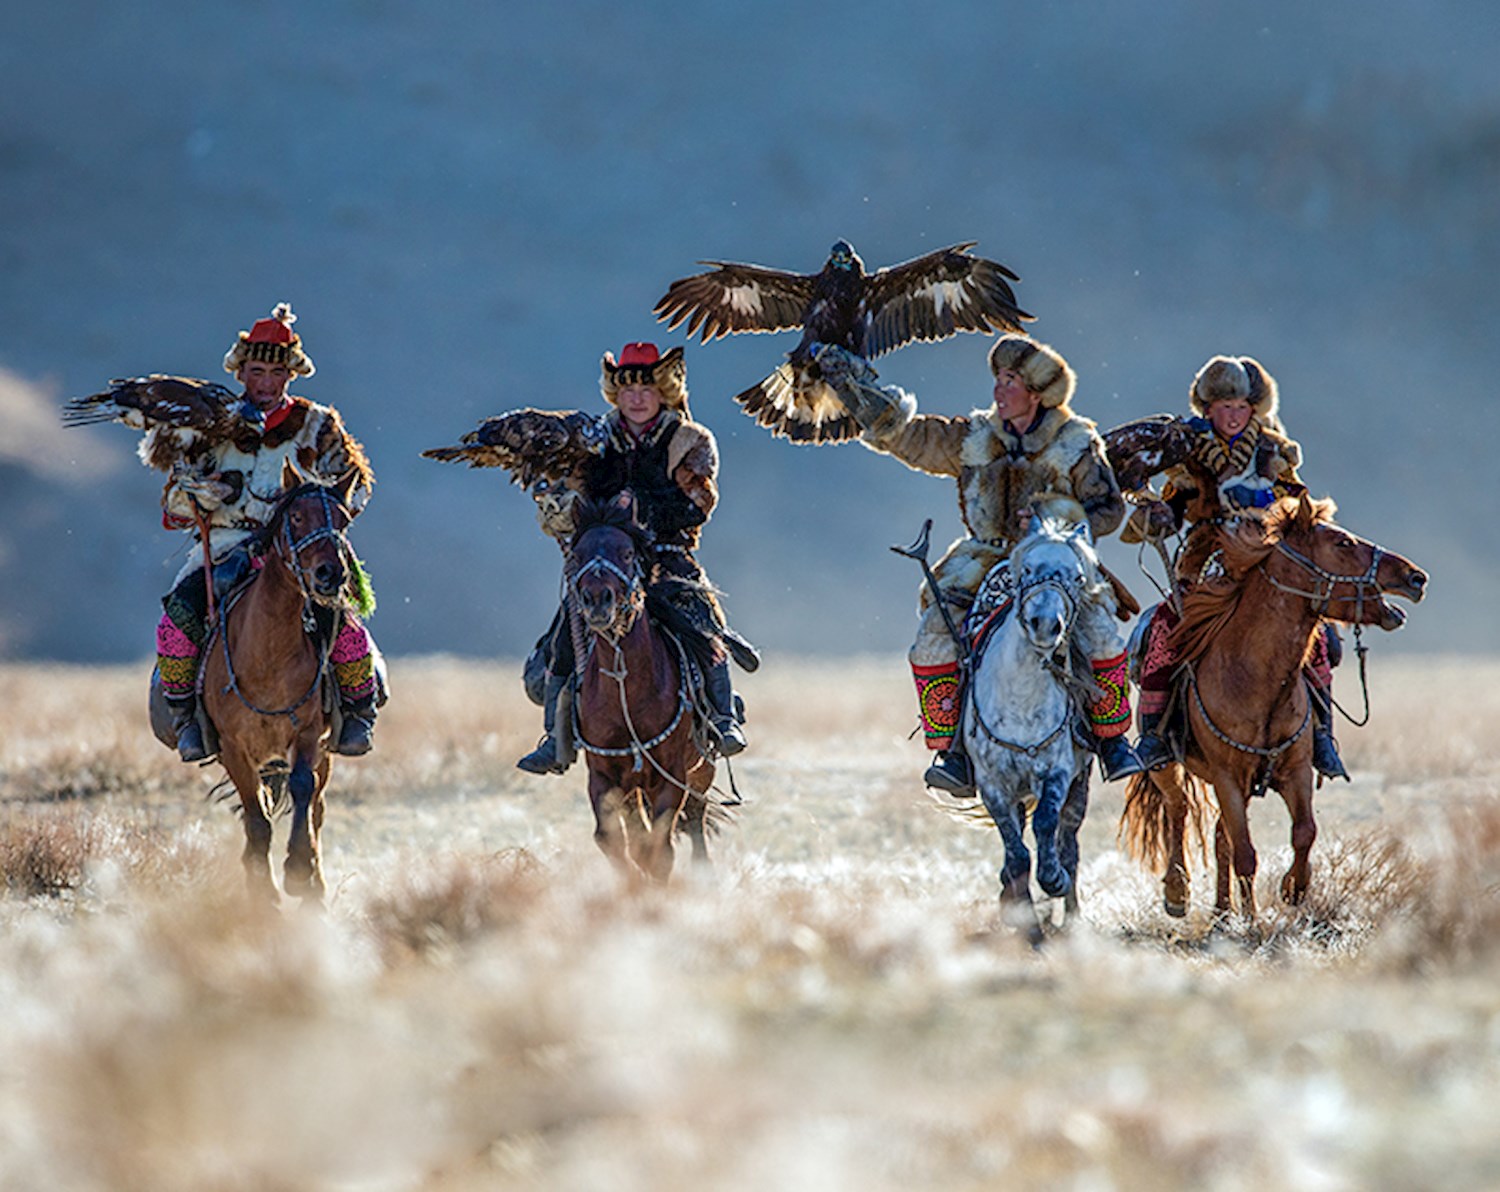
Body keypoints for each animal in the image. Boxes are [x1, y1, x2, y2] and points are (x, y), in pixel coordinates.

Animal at [202, 464, 363, 905]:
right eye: (297, 517)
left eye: (344, 520)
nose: (331, 574)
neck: (266, 658)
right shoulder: (232, 748)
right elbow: (257, 817)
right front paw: (264, 892)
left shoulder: (308, 734)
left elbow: (303, 789)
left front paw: (298, 869)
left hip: (325, 750)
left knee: (318, 807)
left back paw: (316, 886)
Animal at [567, 488, 720, 881]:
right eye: (577, 554)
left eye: (626, 553)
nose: (597, 600)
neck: (627, 689)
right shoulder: (603, 775)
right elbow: (613, 839)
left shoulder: (671, 775)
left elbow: (659, 849)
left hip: (702, 767)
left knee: (695, 818)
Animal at [966, 521, 1098, 941]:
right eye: (1027, 571)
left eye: (1077, 576)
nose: (1045, 624)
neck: (1020, 696)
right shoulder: (993, 784)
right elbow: (1017, 852)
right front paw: (1026, 925)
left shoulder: (1056, 772)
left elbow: (1045, 826)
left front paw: (1053, 880)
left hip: (1080, 784)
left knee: (1068, 841)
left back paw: (1071, 917)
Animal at [1122, 494, 1422, 923]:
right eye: (1343, 543)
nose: (1416, 578)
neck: (1256, 678)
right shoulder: (1228, 777)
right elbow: (1245, 851)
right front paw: (1252, 921)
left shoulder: (1295, 771)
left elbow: (1303, 832)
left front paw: (1293, 889)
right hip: (1170, 765)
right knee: (1179, 809)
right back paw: (1178, 892)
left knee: (1219, 835)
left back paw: (1222, 910)